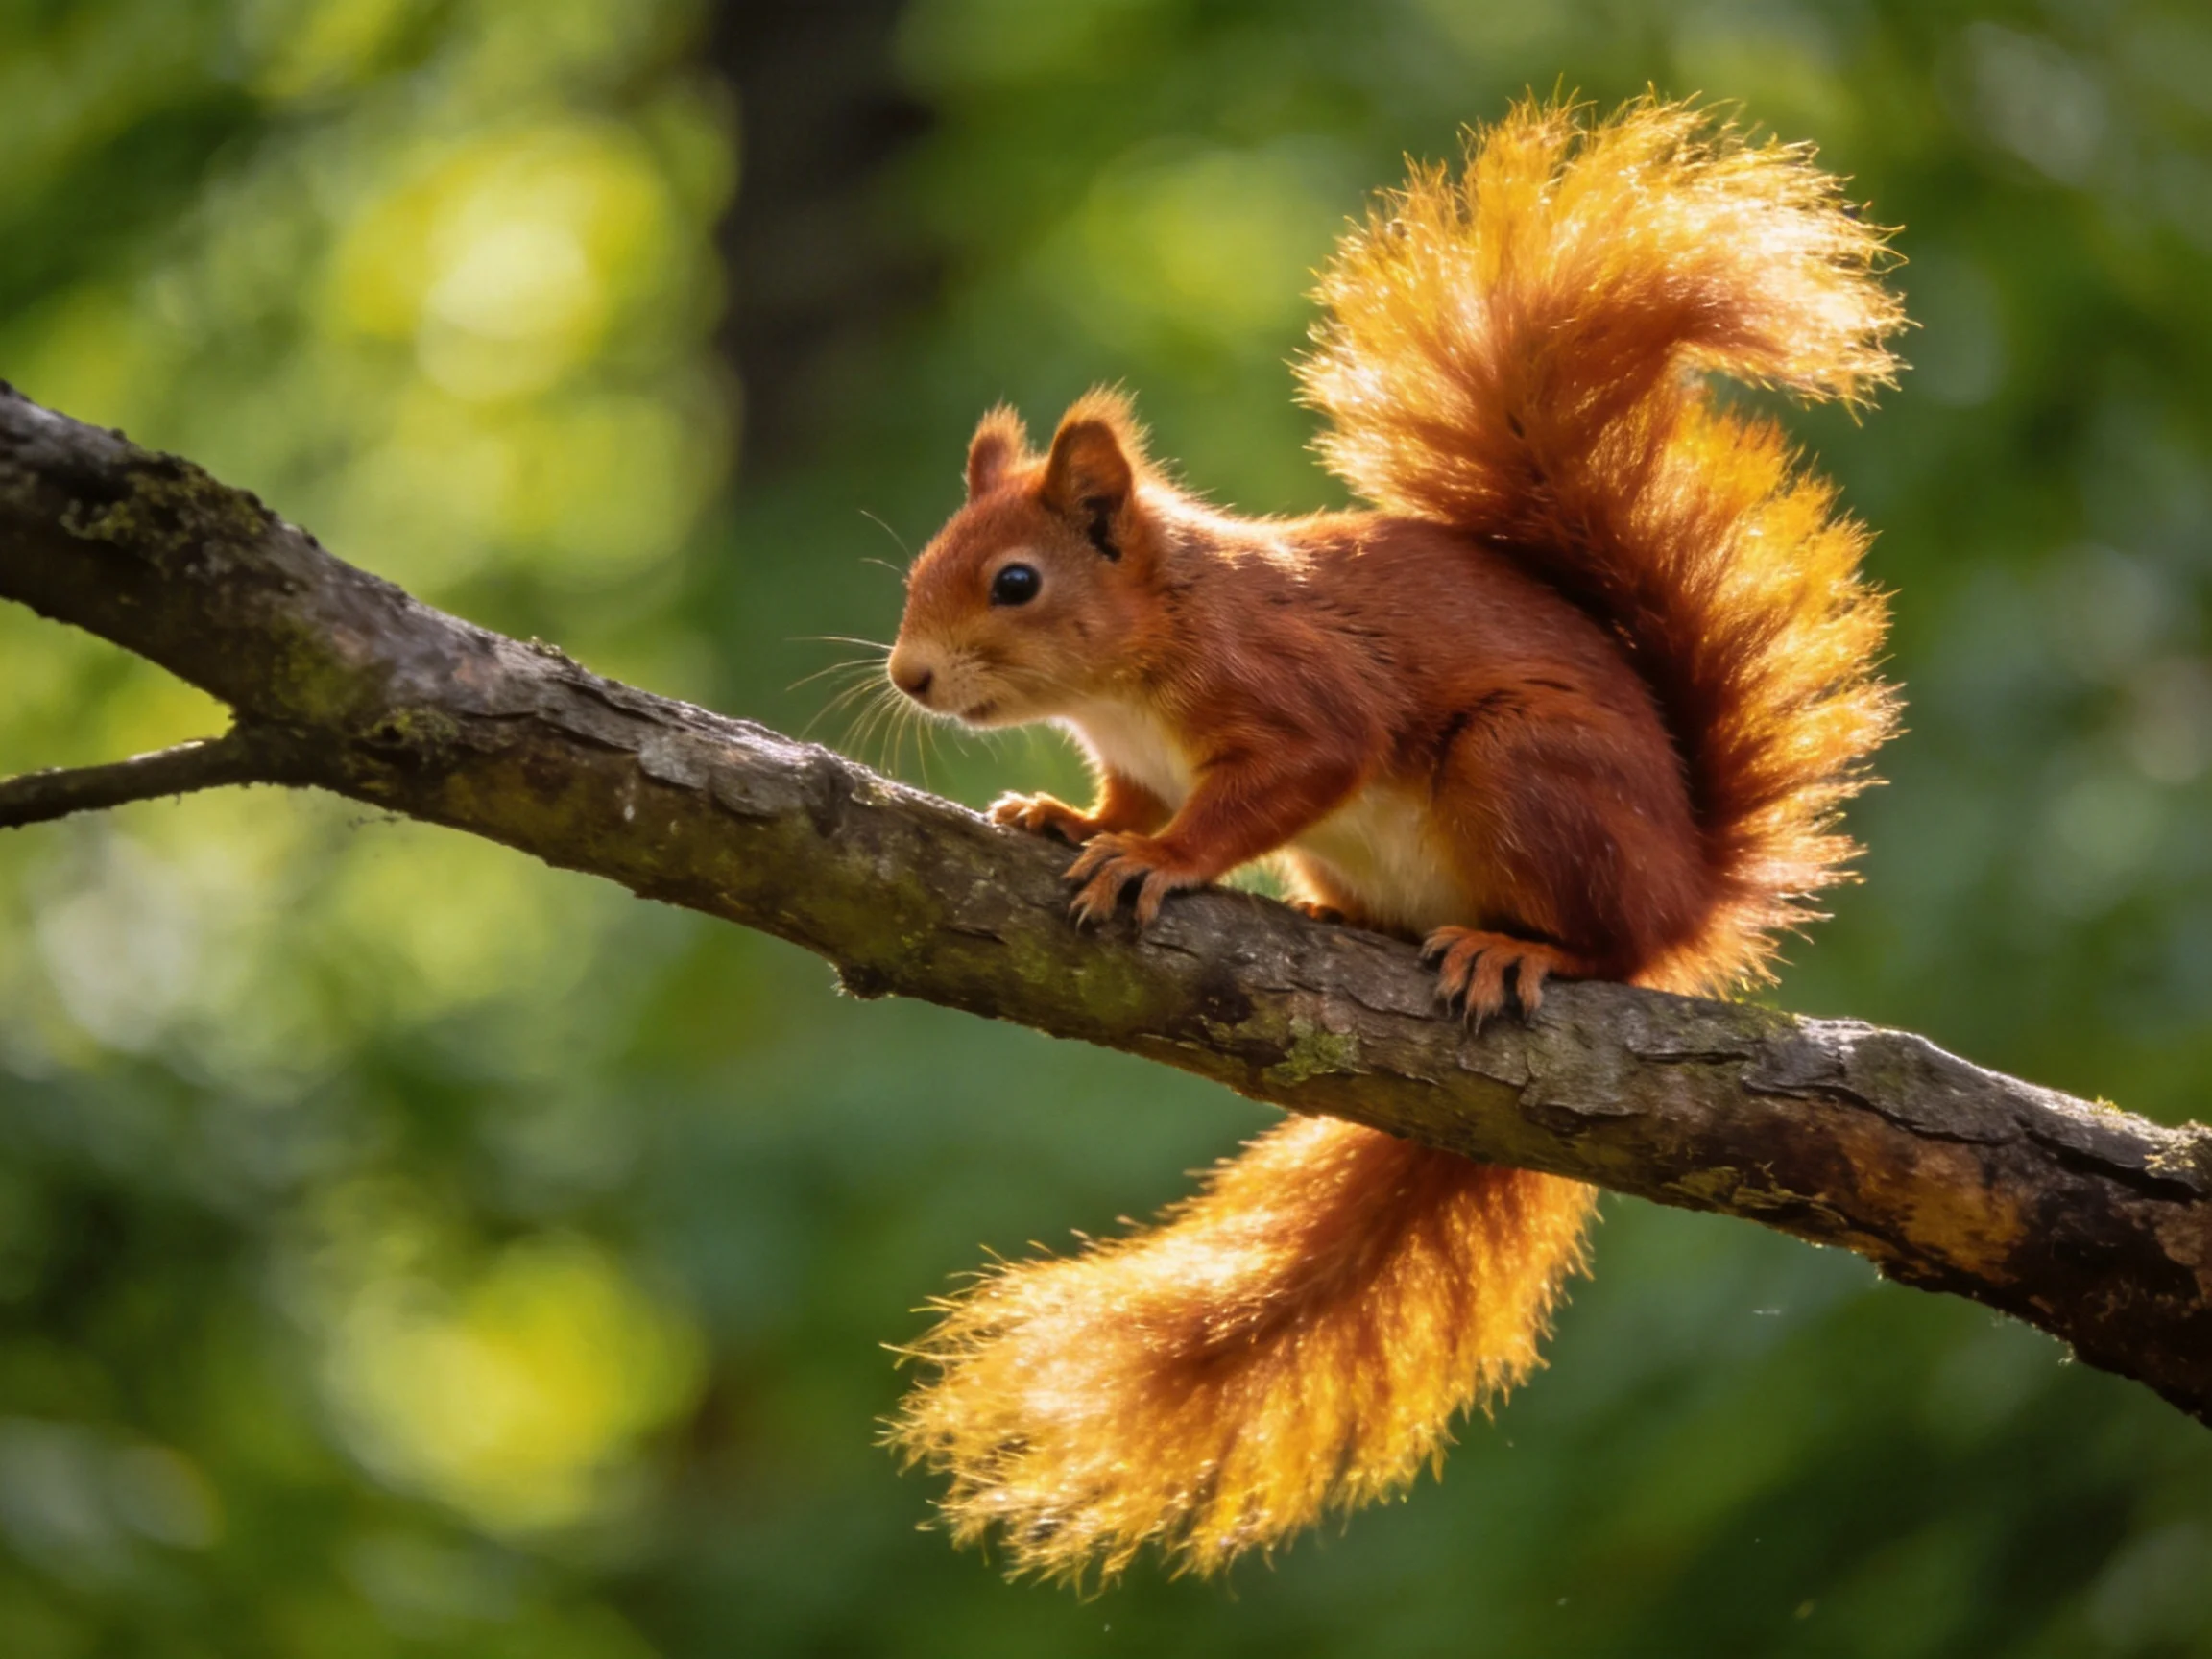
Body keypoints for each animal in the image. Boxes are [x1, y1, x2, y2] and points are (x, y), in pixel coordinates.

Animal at [879, 95, 1903, 1582]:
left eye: (1015, 581)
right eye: (918, 569)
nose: (907, 677)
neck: (1138, 660)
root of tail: (1688, 885)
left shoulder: (1302, 706)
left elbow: (1249, 797)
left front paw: (1155, 864)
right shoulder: (1137, 757)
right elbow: (1124, 799)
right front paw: (1061, 816)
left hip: (1521, 771)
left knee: (1605, 947)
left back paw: (1514, 951)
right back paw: (1341, 921)